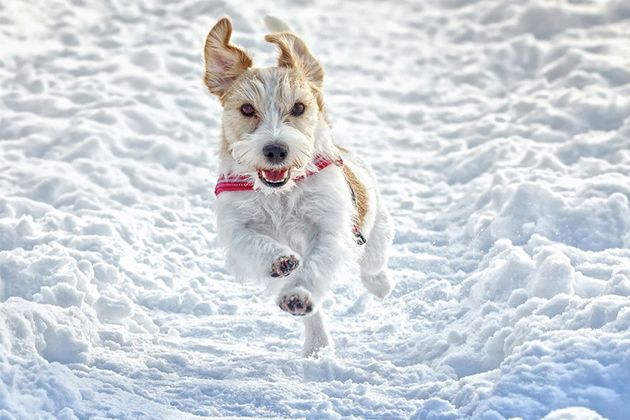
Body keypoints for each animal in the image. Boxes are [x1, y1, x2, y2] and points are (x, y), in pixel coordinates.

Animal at [205, 17, 392, 358]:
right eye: (247, 109)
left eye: (299, 108)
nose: (276, 150)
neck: (280, 192)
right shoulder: (235, 227)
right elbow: (253, 243)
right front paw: (280, 259)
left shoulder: (330, 229)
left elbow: (314, 266)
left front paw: (299, 294)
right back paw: (316, 343)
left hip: (376, 233)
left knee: (373, 265)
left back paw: (379, 285)